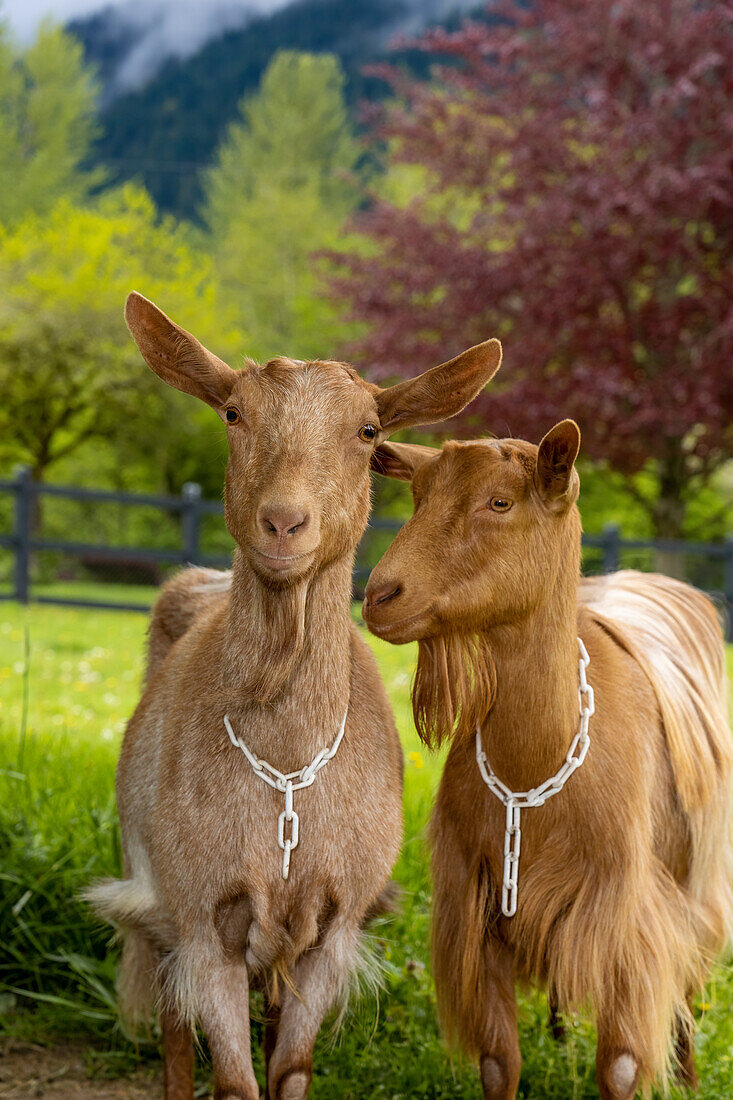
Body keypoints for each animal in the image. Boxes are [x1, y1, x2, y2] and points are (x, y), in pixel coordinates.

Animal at [82, 294, 499, 1100]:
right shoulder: (201, 921)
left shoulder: (329, 935)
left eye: (369, 431)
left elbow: (290, 1071)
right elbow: (234, 1080)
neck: (285, 774)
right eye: (232, 412)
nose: (282, 522)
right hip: (156, 901)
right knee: (173, 1034)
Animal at [363, 422, 726, 1100]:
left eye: (500, 502)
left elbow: (621, 1065)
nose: (379, 596)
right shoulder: (478, 910)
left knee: (692, 980)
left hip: (700, 871)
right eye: (419, 495)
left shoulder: (627, 918)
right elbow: (498, 1061)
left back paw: (689, 1076)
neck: (534, 771)